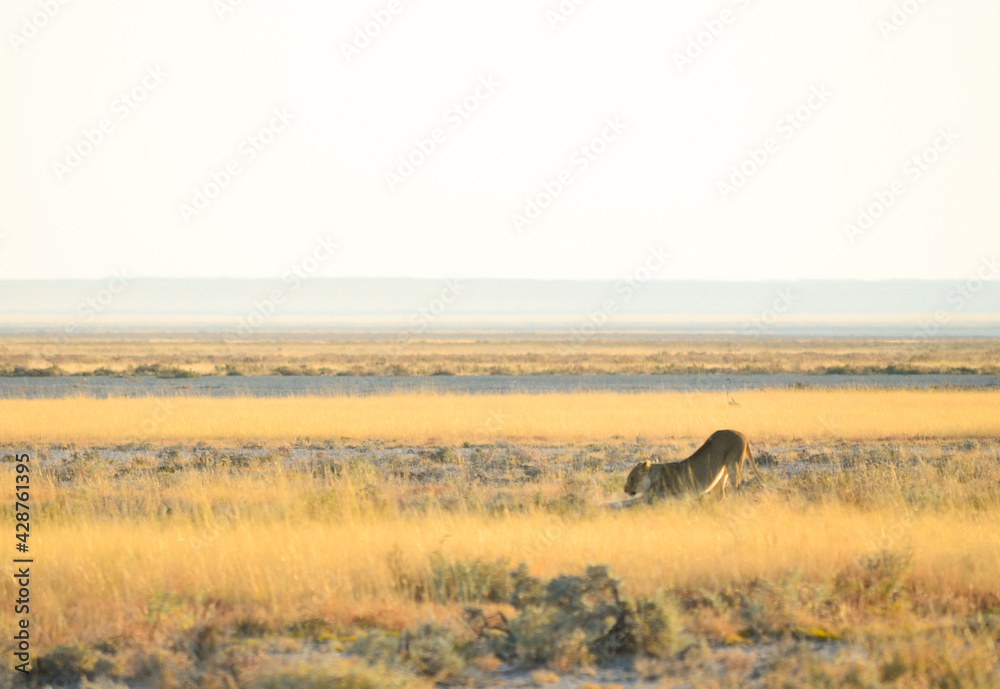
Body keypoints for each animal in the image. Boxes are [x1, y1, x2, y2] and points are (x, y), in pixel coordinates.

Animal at [623, 429, 762, 501]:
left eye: (632, 478)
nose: (624, 490)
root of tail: (742, 434)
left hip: (734, 465)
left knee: (736, 490)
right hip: (722, 471)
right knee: (721, 492)